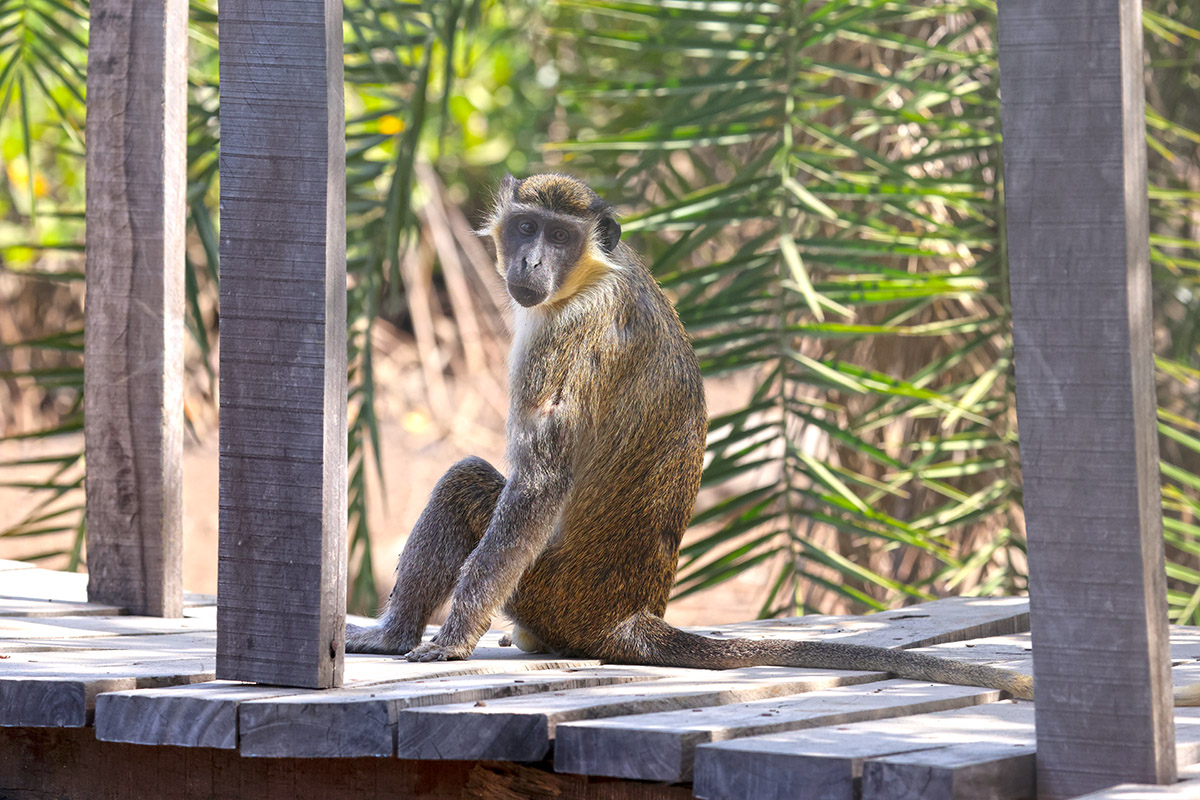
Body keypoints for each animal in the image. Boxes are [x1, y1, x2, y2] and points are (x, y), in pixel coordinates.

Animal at [346, 172, 1035, 701]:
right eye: (524, 228)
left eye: (560, 236)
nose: (530, 262)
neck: (593, 275)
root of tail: (623, 616)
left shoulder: (563, 338)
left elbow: (537, 486)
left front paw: (453, 639)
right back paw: (391, 635)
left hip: (548, 592)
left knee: (468, 481)